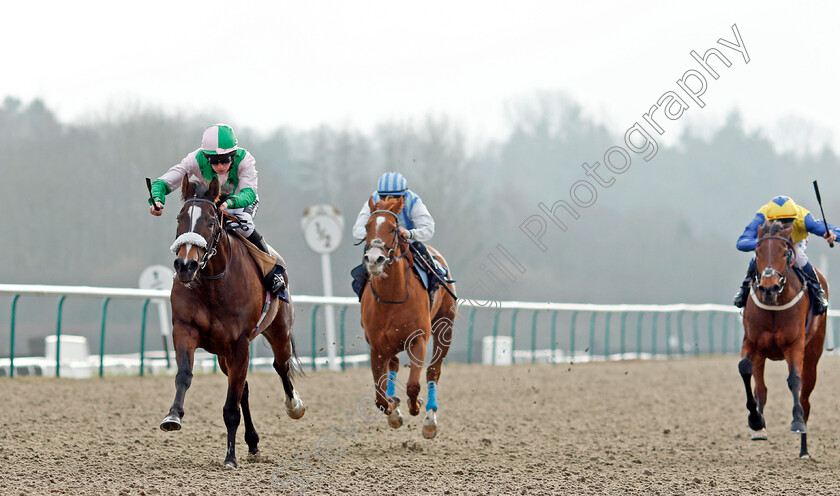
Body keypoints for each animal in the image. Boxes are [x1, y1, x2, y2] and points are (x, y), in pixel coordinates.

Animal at [158, 176, 306, 466]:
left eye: (210, 221)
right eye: (180, 218)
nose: (186, 265)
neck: (213, 283)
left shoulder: (239, 342)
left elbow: (230, 406)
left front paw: (230, 458)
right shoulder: (185, 329)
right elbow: (184, 375)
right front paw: (173, 415)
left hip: (278, 330)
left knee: (280, 366)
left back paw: (294, 406)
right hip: (223, 354)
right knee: (243, 388)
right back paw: (252, 442)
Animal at [360, 197, 456, 438]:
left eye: (393, 228)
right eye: (367, 226)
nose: (374, 259)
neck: (391, 297)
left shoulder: (418, 339)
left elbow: (413, 385)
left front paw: (416, 406)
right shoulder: (376, 346)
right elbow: (380, 396)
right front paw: (393, 408)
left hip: (445, 327)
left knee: (433, 371)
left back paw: (430, 420)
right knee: (393, 365)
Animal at [740, 219, 824, 460]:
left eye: (785, 252)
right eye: (757, 252)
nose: (769, 287)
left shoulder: (794, 345)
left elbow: (794, 380)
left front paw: (796, 422)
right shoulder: (751, 342)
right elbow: (744, 369)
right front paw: (755, 421)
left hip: (813, 355)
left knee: (805, 398)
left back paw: (804, 449)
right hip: (762, 355)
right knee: (761, 388)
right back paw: (760, 428)